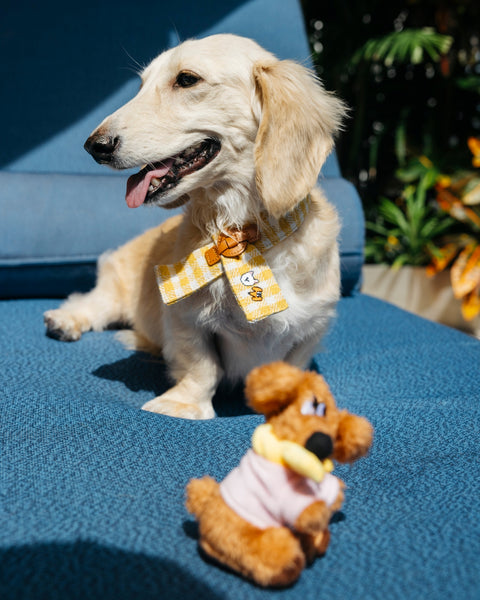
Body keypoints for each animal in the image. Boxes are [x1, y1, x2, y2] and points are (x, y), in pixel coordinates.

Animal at [44, 32, 344, 418]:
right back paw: (65, 321)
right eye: (141, 86)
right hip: (116, 287)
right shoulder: (186, 321)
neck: (242, 237)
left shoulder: (313, 328)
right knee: (93, 302)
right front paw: (181, 405)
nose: (95, 145)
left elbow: (292, 367)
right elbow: (202, 368)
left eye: (187, 79)